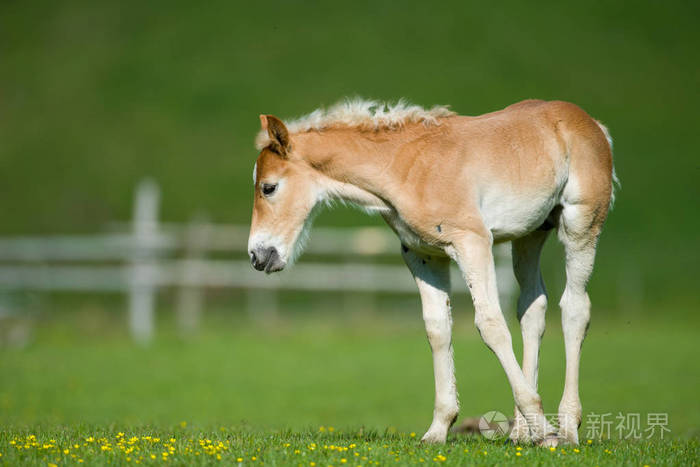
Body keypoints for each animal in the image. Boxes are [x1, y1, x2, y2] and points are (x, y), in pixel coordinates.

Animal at [247, 98, 617, 446]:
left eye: (268, 187)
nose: (257, 256)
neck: (404, 168)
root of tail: (593, 124)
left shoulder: (473, 243)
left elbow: (490, 324)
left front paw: (546, 430)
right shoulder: (423, 255)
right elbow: (437, 329)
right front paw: (438, 429)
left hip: (581, 224)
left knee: (575, 309)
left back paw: (566, 428)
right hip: (530, 234)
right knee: (532, 309)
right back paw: (520, 433)